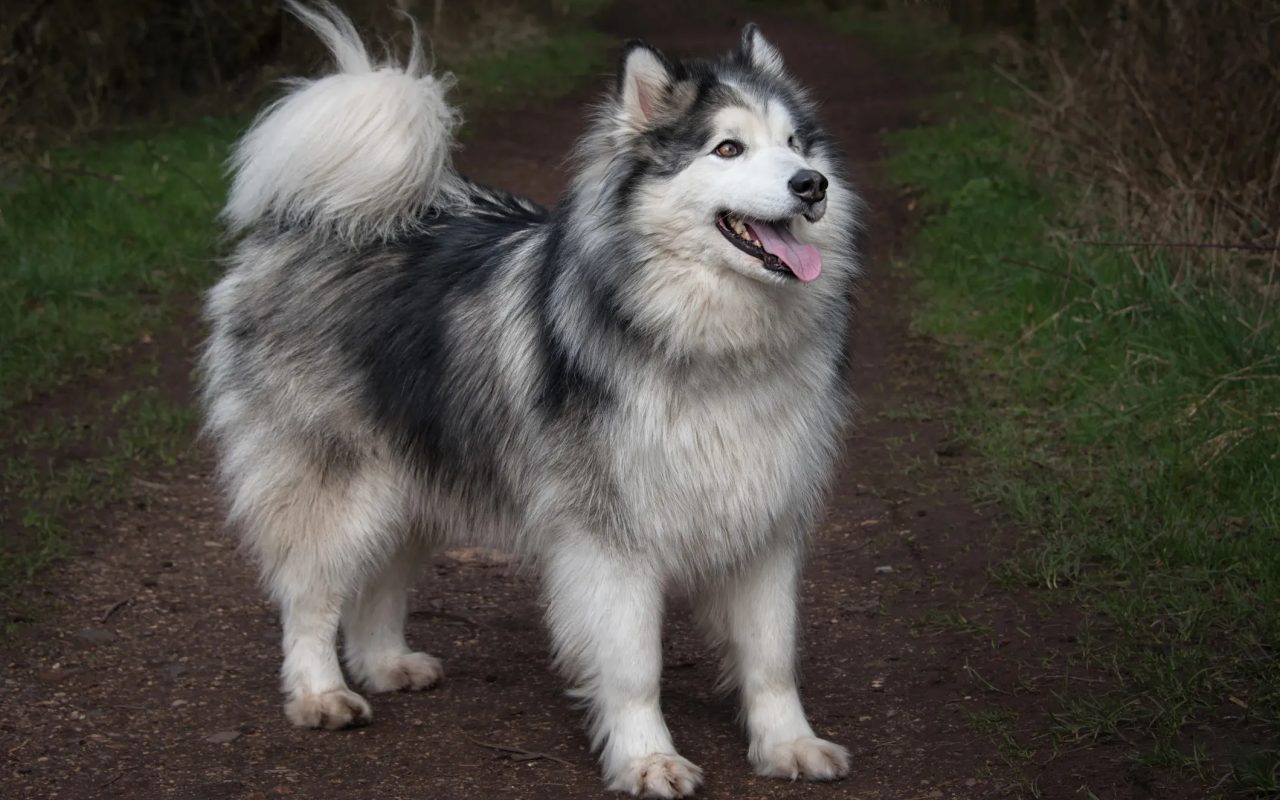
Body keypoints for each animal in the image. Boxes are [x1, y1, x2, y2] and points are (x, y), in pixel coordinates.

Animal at [199, 4, 860, 793]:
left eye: (794, 143)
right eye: (727, 148)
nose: (812, 184)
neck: (706, 343)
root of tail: (319, 216)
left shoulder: (765, 520)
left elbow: (771, 655)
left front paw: (788, 743)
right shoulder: (610, 537)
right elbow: (634, 665)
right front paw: (647, 758)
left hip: (411, 477)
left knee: (380, 579)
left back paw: (386, 662)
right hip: (338, 481)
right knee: (309, 592)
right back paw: (321, 692)